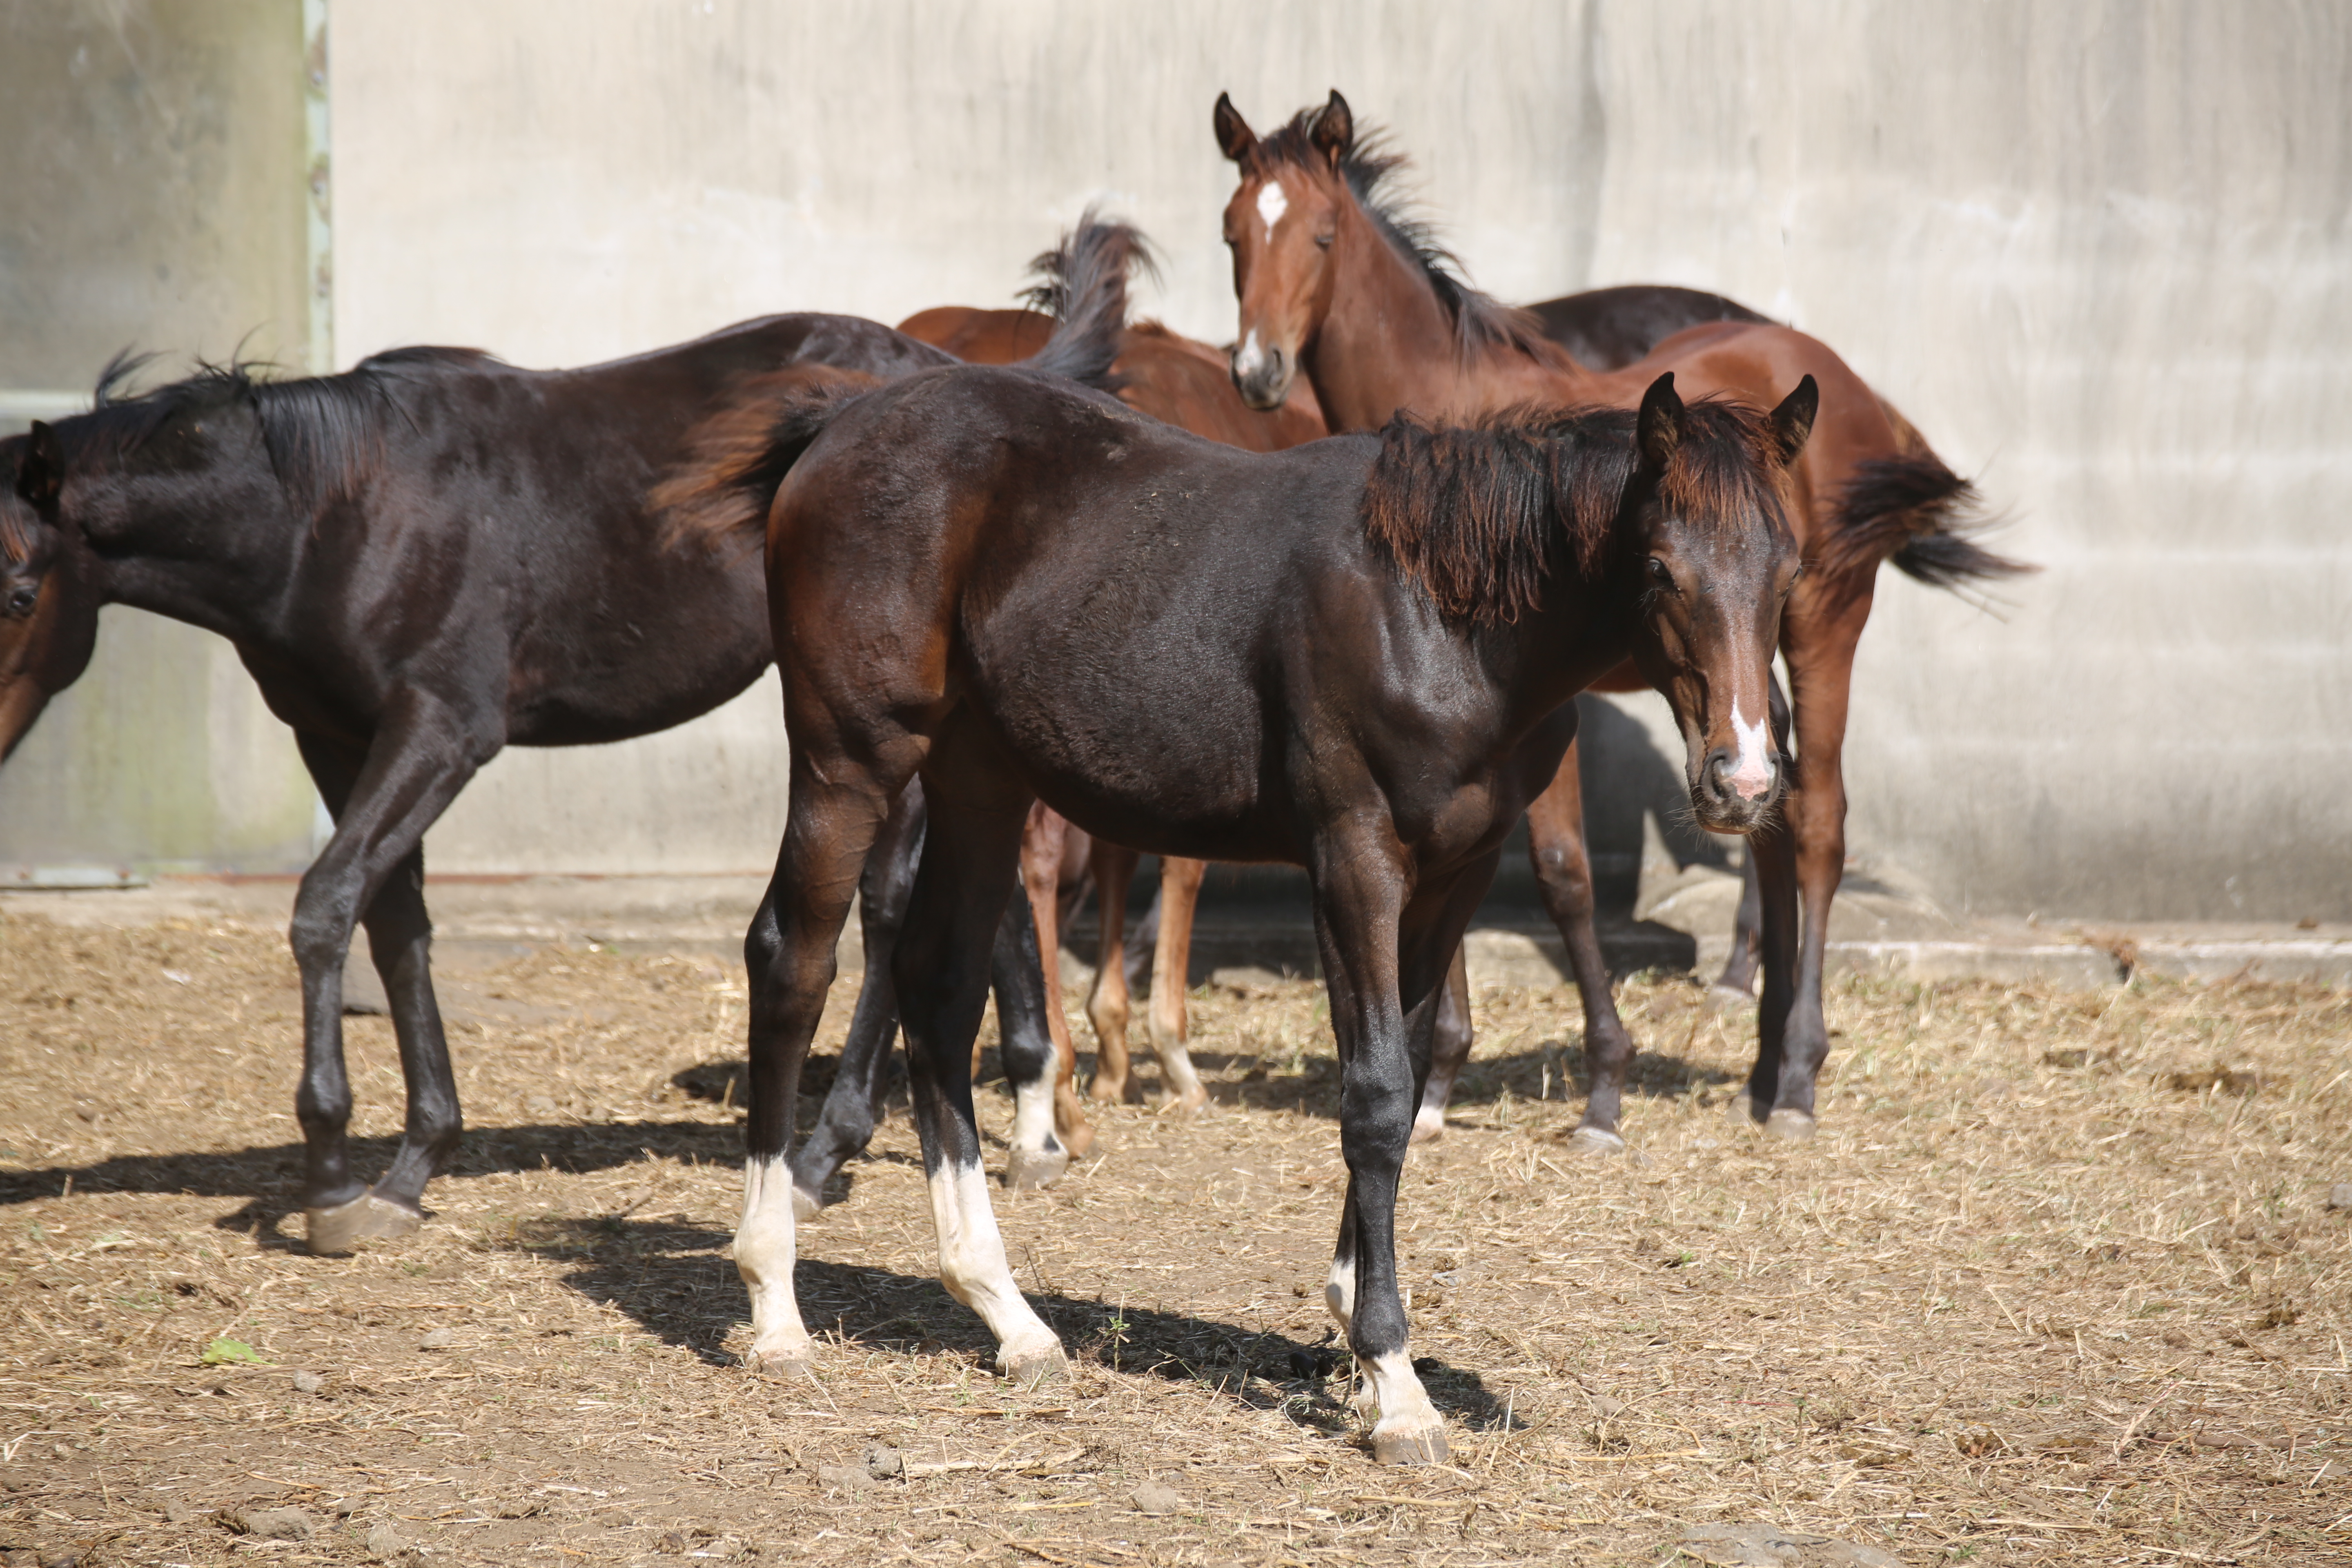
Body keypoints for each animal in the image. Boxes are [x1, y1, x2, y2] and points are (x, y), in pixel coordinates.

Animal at [1214, 92, 2022, 1147]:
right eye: (1232, 233)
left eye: (1319, 234)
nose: (1258, 371)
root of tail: (1839, 376)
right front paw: (1438, 1082)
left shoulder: (1548, 707)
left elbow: (1562, 871)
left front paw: (1599, 1086)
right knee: (1766, 808)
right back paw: (1761, 1063)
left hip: (1819, 630)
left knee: (1815, 819)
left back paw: (1797, 1076)